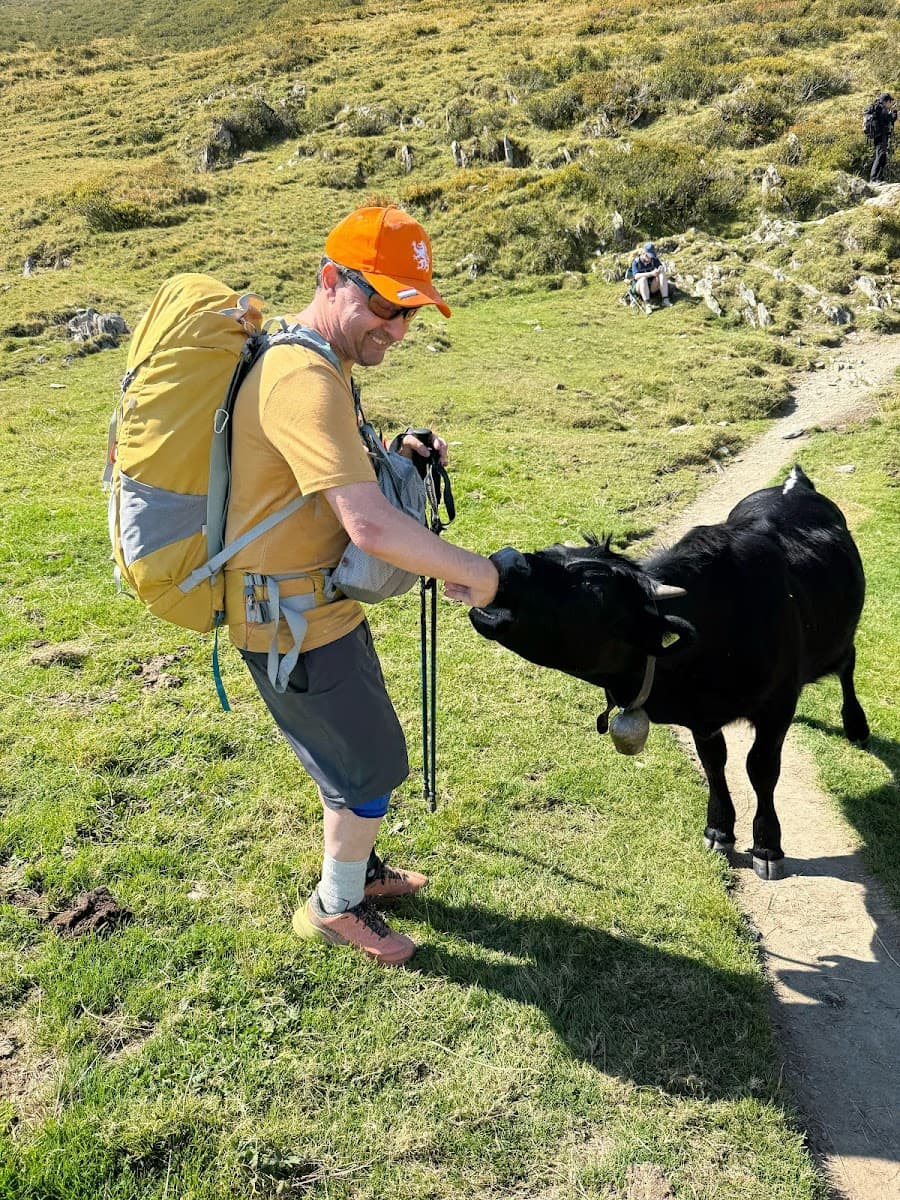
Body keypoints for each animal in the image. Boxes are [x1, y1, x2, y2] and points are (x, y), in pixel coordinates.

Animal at [469, 466, 869, 880]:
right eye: (549, 551)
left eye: (593, 588)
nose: (505, 560)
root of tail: (795, 484)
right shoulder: (702, 719)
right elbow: (714, 763)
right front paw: (719, 830)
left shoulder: (777, 706)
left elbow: (760, 768)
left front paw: (767, 846)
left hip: (839, 641)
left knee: (848, 664)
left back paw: (856, 725)